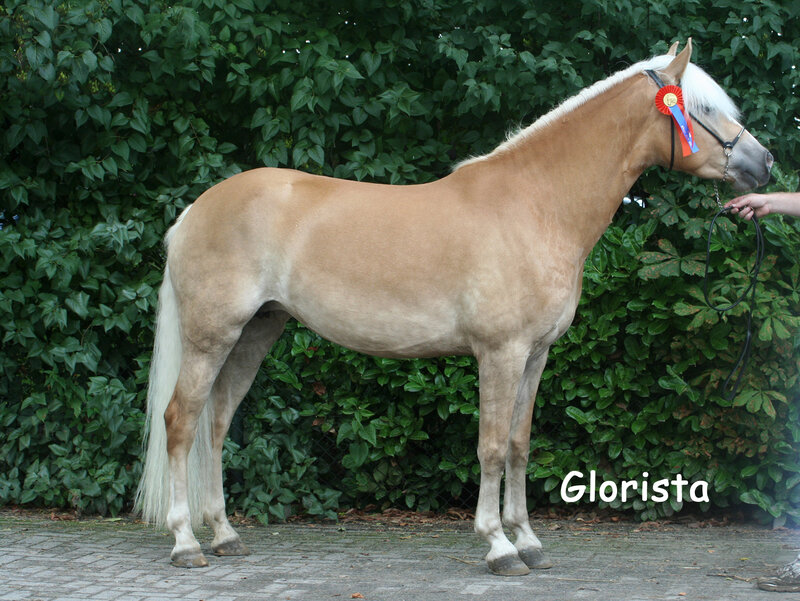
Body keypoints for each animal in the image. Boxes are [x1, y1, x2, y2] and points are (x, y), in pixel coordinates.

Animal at [135, 40, 772, 575]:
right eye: (703, 109)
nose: (763, 163)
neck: (536, 205)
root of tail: (194, 210)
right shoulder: (500, 353)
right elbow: (489, 446)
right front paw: (498, 546)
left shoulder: (535, 355)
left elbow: (518, 445)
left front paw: (528, 540)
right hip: (211, 336)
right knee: (181, 421)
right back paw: (187, 543)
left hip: (256, 333)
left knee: (217, 423)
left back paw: (225, 535)